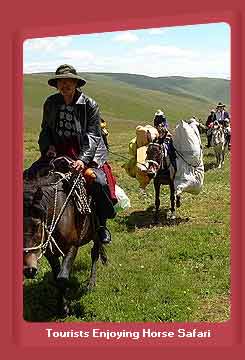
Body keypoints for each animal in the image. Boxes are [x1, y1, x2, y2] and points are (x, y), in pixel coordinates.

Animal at [23, 159, 107, 316]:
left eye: (37, 225)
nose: (29, 270)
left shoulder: (73, 246)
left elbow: (62, 277)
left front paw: (65, 308)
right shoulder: (50, 252)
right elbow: (57, 277)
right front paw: (61, 305)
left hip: (96, 232)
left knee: (95, 252)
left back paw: (91, 283)